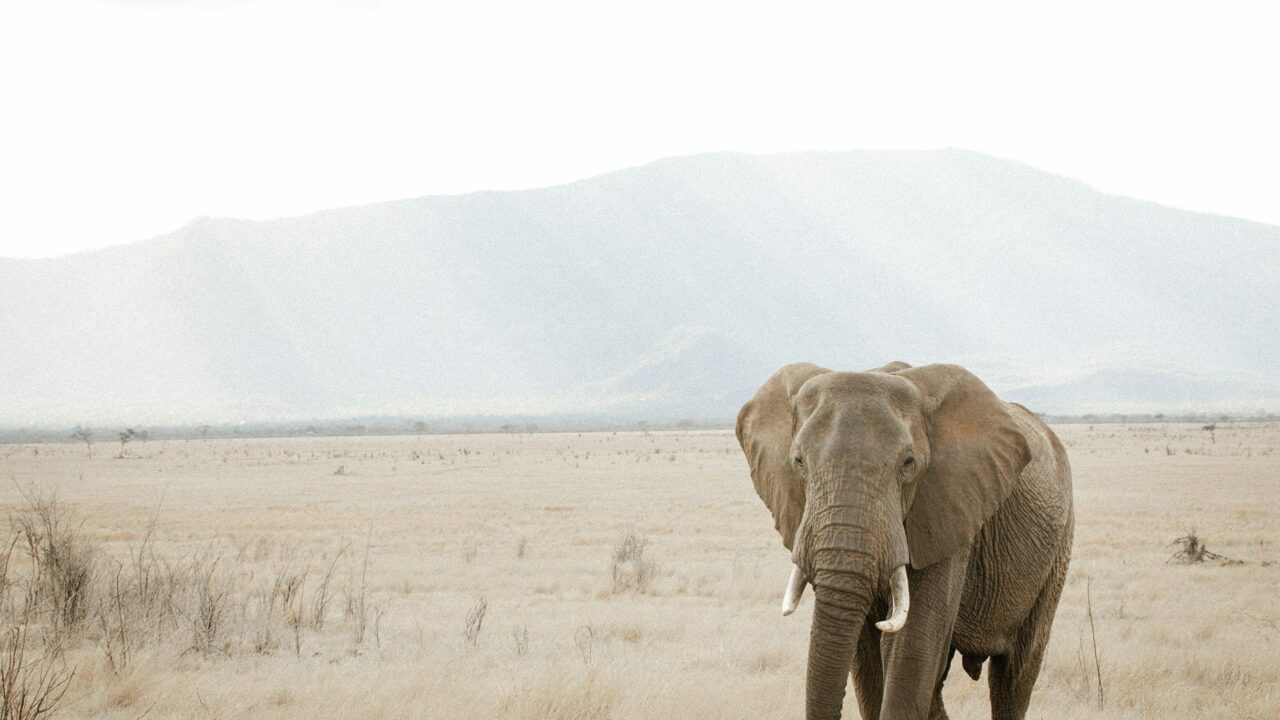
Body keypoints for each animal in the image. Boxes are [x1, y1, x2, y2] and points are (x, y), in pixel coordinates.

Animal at [736, 361, 1073, 720]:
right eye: (798, 462)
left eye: (908, 464)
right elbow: (868, 656)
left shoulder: (947, 509)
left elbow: (912, 646)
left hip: (1057, 551)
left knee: (1014, 675)